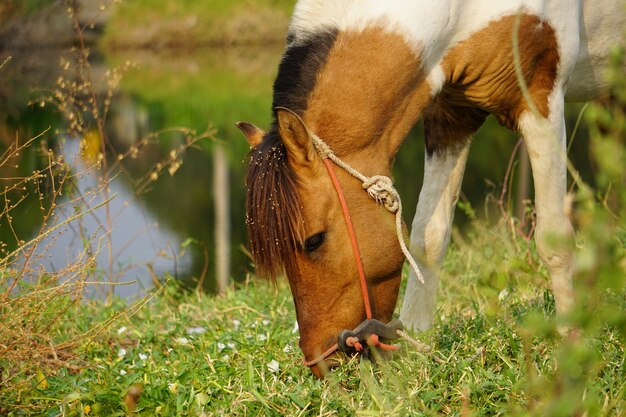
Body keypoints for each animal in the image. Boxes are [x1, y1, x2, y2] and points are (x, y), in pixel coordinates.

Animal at [236, 0, 620, 376]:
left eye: (314, 241)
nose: (321, 362)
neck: (462, 10)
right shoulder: (452, 114)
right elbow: (428, 237)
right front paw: (415, 341)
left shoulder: (541, 100)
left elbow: (553, 240)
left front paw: (570, 341)